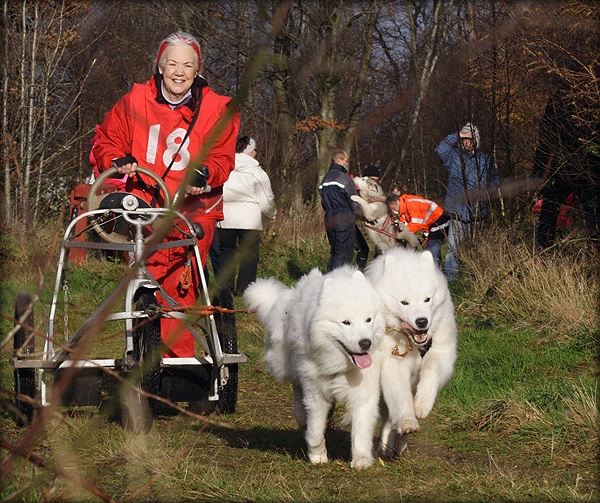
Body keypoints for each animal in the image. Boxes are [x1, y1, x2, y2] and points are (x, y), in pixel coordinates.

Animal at [243, 266, 384, 470]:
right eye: (346, 322)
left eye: (368, 320)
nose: (366, 343)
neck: (339, 363)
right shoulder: (316, 393)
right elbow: (316, 430)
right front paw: (318, 456)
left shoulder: (363, 392)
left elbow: (361, 431)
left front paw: (361, 460)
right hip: (294, 370)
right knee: (298, 394)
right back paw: (302, 418)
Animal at [364, 248, 458, 456]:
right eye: (404, 302)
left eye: (427, 299)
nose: (422, 321)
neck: (413, 344)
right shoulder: (394, 365)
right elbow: (401, 399)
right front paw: (408, 421)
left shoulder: (441, 352)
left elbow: (431, 371)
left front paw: (423, 405)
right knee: (388, 419)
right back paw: (387, 444)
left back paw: (400, 444)